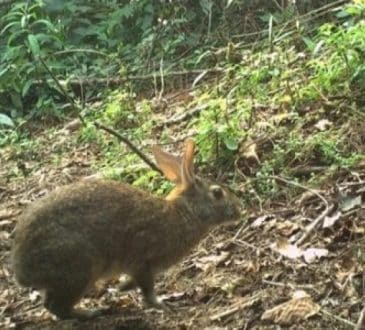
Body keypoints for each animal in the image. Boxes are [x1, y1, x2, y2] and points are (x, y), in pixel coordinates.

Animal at [11, 139, 240, 320]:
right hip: (80, 269)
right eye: (217, 193)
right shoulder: (144, 262)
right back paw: (90, 313)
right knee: (56, 306)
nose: (239, 210)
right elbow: (147, 291)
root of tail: (22, 271)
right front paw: (163, 304)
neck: (184, 213)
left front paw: (120, 288)